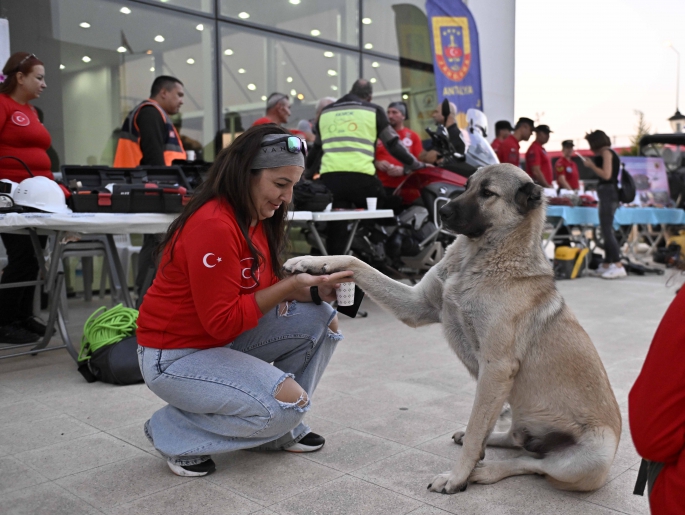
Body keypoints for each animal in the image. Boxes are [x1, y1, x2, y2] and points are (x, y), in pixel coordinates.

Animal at [284, 165, 620, 496]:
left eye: (487, 193)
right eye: (468, 184)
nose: (442, 212)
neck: (479, 259)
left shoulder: (496, 368)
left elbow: (476, 430)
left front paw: (457, 477)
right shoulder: (416, 305)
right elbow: (356, 260)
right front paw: (310, 261)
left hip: (590, 459)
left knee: (532, 463)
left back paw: (484, 472)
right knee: (516, 441)